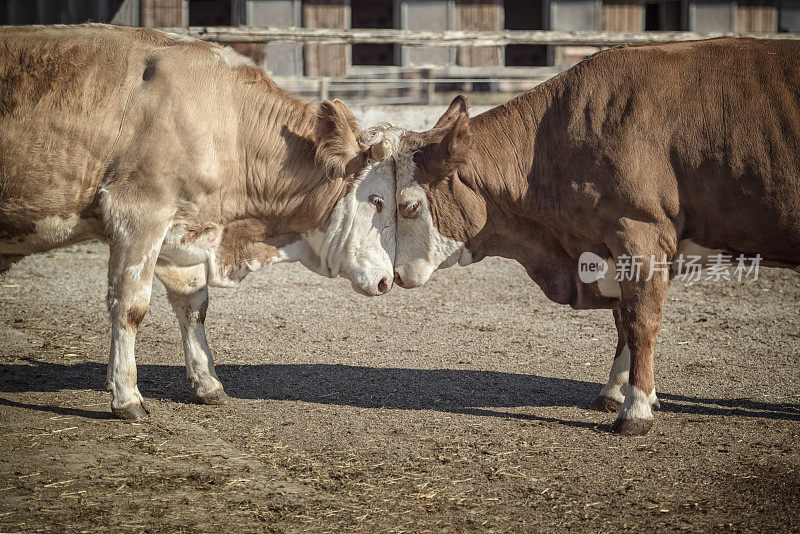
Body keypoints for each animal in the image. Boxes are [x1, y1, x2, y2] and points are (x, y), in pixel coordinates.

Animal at [0, 24, 400, 418]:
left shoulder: (185, 234)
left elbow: (193, 307)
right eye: (378, 200)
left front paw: (208, 384)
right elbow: (130, 306)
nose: (387, 280)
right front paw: (127, 396)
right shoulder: (137, 213)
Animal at [392, 39, 800, 438]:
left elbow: (639, 321)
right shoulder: (611, 246)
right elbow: (622, 320)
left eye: (408, 205)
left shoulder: (640, 232)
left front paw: (636, 408)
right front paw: (617, 391)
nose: (393, 275)